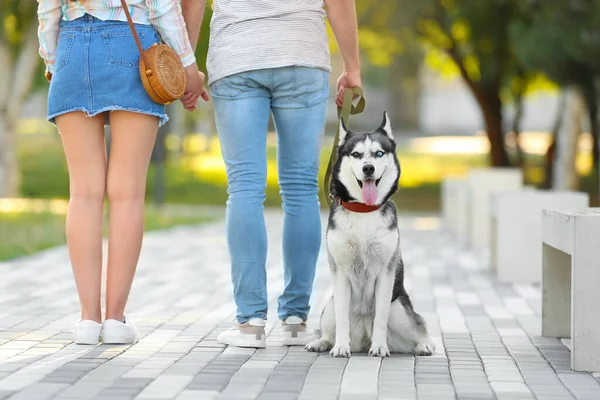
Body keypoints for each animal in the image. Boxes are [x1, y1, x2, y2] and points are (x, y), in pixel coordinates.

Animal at [308, 111, 434, 356]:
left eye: (379, 153)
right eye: (356, 154)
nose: (368, 168)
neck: (363, 211)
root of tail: (363, 337)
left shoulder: (386, 273)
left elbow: (381, 318)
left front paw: (379, 347)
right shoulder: (340, 272)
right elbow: (342, 317)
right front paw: (340, 346)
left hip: (400, 309)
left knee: (420, 328)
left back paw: (422, 345)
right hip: (328, 307)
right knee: (329, 327)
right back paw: (323, 342)